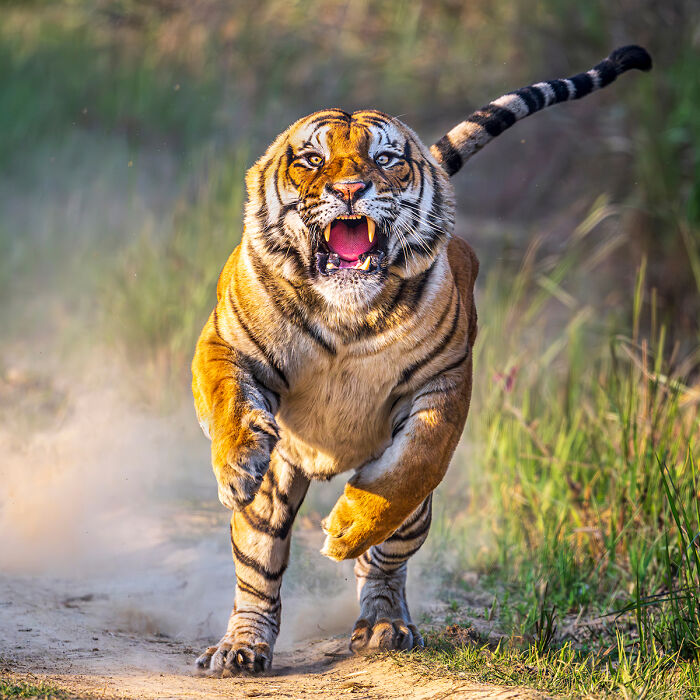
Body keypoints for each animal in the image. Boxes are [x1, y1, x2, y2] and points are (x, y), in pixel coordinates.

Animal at [191, 45, 651, 675]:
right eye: (313, 160)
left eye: (385, 160)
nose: (351, 189)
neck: (346, 313)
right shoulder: (225, 342)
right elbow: (229, 402)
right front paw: (236, 467)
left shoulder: (444, 383)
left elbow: (412, 466)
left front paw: (345, 529)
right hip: (276, 494)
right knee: (259, 570)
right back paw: (242, 647)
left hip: (414, 516)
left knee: (385, 559)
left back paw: (383, 624)